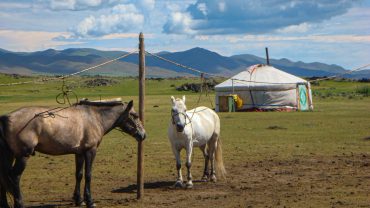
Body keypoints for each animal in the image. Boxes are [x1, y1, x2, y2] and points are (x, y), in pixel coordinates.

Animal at [0, 98, 147, 207]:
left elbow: (79, 175)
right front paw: (89, 201)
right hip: (22, 156)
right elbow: (88, 175)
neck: (95, 117)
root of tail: (6, 117)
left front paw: (78, 200)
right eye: (135, 116)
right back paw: (19, 203)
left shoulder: (79, 153)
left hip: (10, 155)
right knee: (15, 177)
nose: (143, 135)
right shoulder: (90, 151)